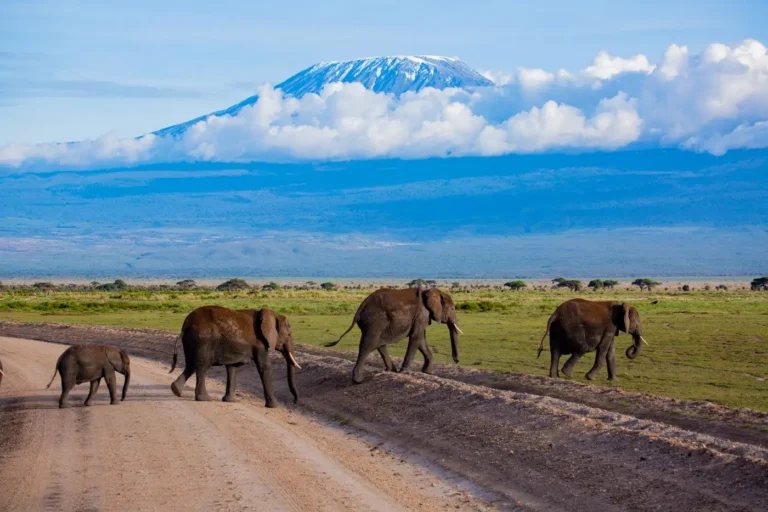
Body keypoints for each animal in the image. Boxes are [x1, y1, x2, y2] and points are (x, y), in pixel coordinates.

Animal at [169, 306, 301, 408]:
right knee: (202, 366)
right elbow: (265, 367)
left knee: (190, 364)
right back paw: (205, 399)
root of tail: (186, 324)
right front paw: (275, 406)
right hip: (204, 340)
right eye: (289, 334)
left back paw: (176, 390)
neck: (270, 314)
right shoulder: (259, 344)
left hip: (191, 340)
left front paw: (231, 401)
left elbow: (233, 368)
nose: (294, 401)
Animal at [326, 287, 463, 383]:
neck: (430, 291)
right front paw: (405, 372)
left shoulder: (421, 317)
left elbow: (421, 339)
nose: (457, 360)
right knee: (367, 344)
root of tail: (361, 306)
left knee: (379, 343)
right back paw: (358, 380)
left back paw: (392, 371)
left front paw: (427, 373)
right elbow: (416, 337)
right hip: (375, 321)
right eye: (452, 309)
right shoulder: (421, 314)